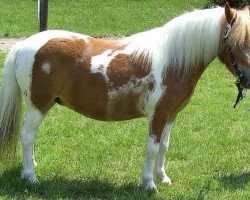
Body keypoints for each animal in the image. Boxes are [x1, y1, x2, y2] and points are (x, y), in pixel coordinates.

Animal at [0, 3, 250, 191]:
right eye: (239, 43)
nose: (247, 81)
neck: (175, 61)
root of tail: (23, 45)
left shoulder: (171, 115)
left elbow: (164, 146)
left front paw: (162, 177)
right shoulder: (158, 114)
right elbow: (152, 147)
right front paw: (148, 183)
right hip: (38, 106)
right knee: (27, 135)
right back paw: (31, 176)